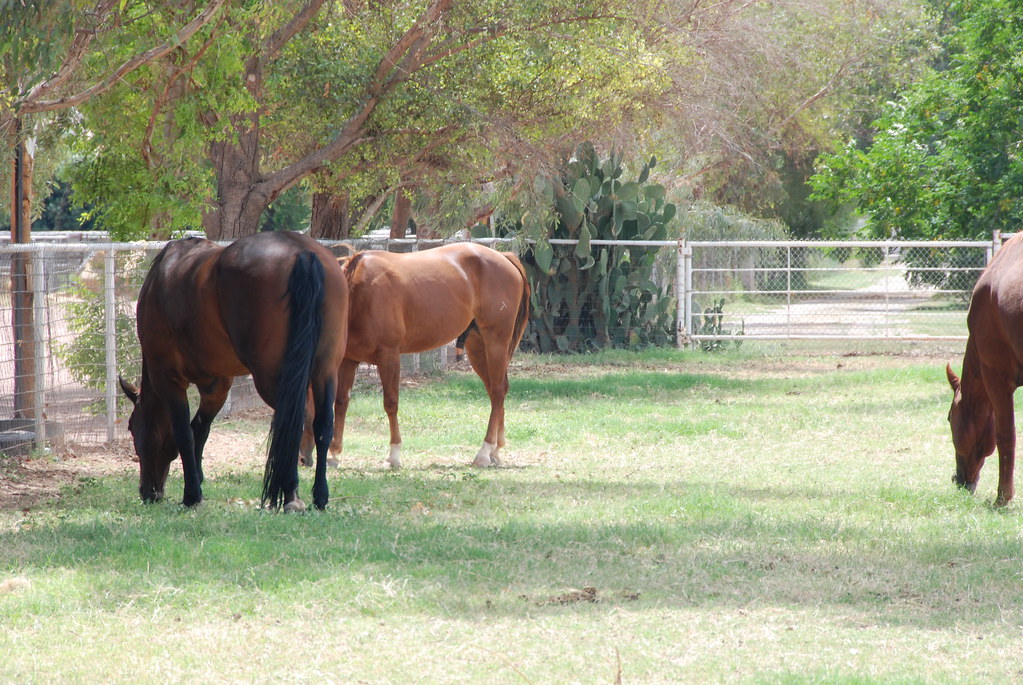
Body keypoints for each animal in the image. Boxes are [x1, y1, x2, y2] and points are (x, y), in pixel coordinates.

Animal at [119, 232, 348, 511]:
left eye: (132, 427)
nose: (148, 492)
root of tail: (302, 251)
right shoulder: (217, 384)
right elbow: (200, 430)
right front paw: (198, 482)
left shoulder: (168, 379)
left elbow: (184, 434)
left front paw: (191, 495)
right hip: (326, 370)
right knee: (322, 424)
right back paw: (320, 496)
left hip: (273, 378)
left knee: (295, 420)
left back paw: (291, 495)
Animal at [303, 242, 529, 469]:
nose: (303, 459)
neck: (358, 293)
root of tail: (503, 257)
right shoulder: (348, 360)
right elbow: (341, 402)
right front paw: (334, 453)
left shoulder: (389, 357)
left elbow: (391, 403)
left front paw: (393, 455)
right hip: (477, 347)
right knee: (495, 391)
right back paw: (496, 450)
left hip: (495, 342)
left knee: (498, 392)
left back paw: (484, 452)